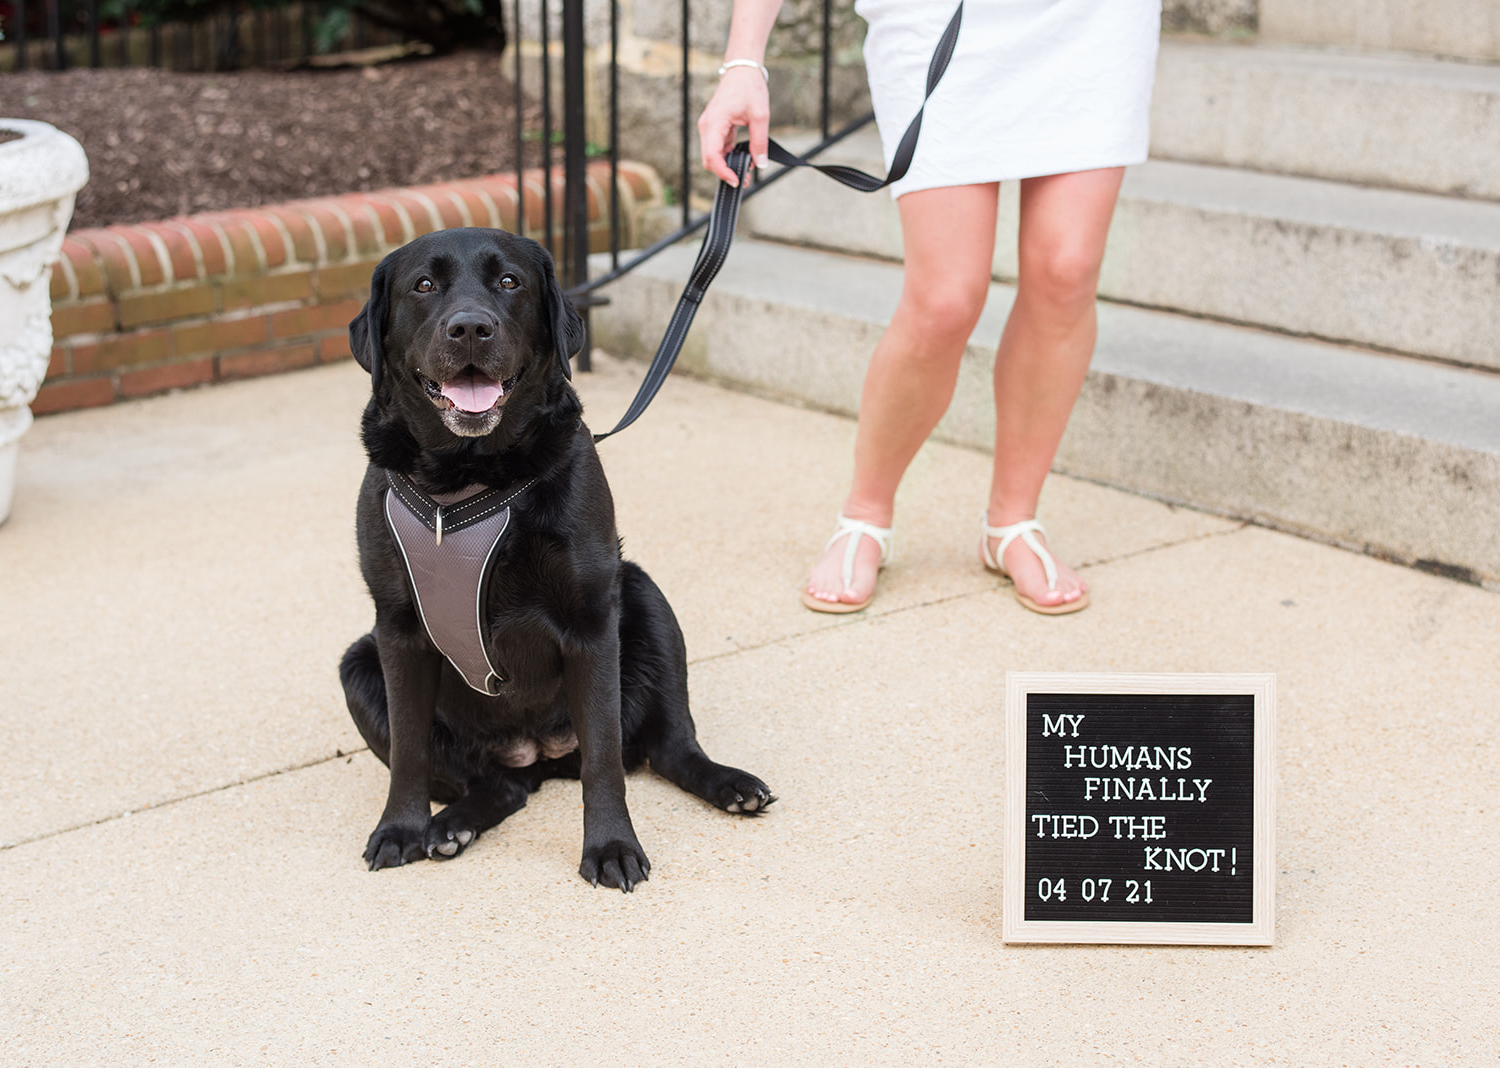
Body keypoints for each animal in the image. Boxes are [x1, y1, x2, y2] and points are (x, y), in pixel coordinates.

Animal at [340, 228, 774, 894]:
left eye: (509, 282)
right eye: (424, 285)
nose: (471, 328)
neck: (469, 478)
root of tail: (538, 754)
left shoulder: (590, 620)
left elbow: (604, 759)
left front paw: (612, 847)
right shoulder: (396, 628)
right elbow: (410, 748)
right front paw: (401, 829)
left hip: (644, 595)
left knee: (670, 748)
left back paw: (730, 784)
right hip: (358, 665)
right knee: (501, 787)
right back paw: (451, 826)